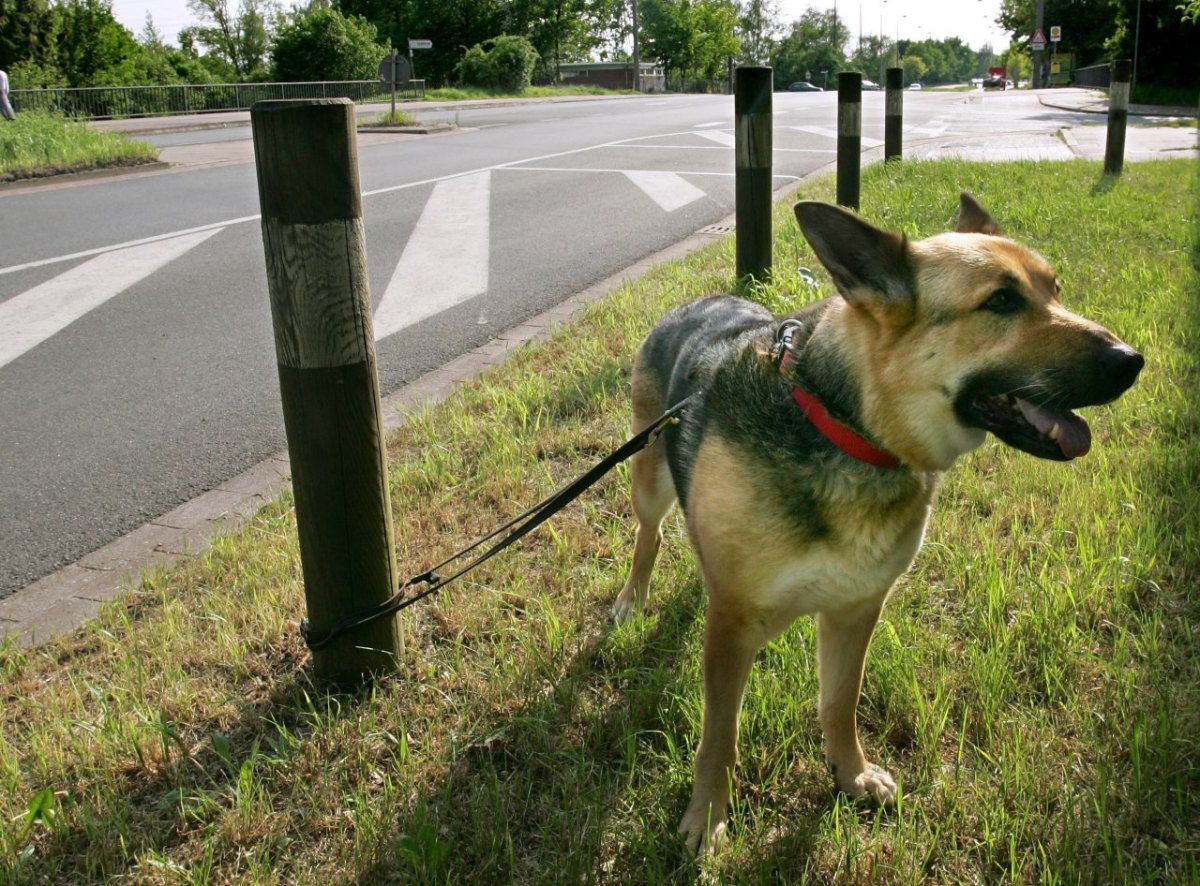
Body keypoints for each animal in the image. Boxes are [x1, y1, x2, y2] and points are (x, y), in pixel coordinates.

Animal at [614, 192, 1147, 849]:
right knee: (650, 534)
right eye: (1001, 301)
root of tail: (697, 300)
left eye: (1055, 289)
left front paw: (851, 775)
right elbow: (721, 734)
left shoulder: (856, 608)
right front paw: (707, 815)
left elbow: (840, 703)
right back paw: (632, 598)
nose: (1132, 361)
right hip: (650, 477)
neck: (847, 424)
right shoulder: (733, 626)